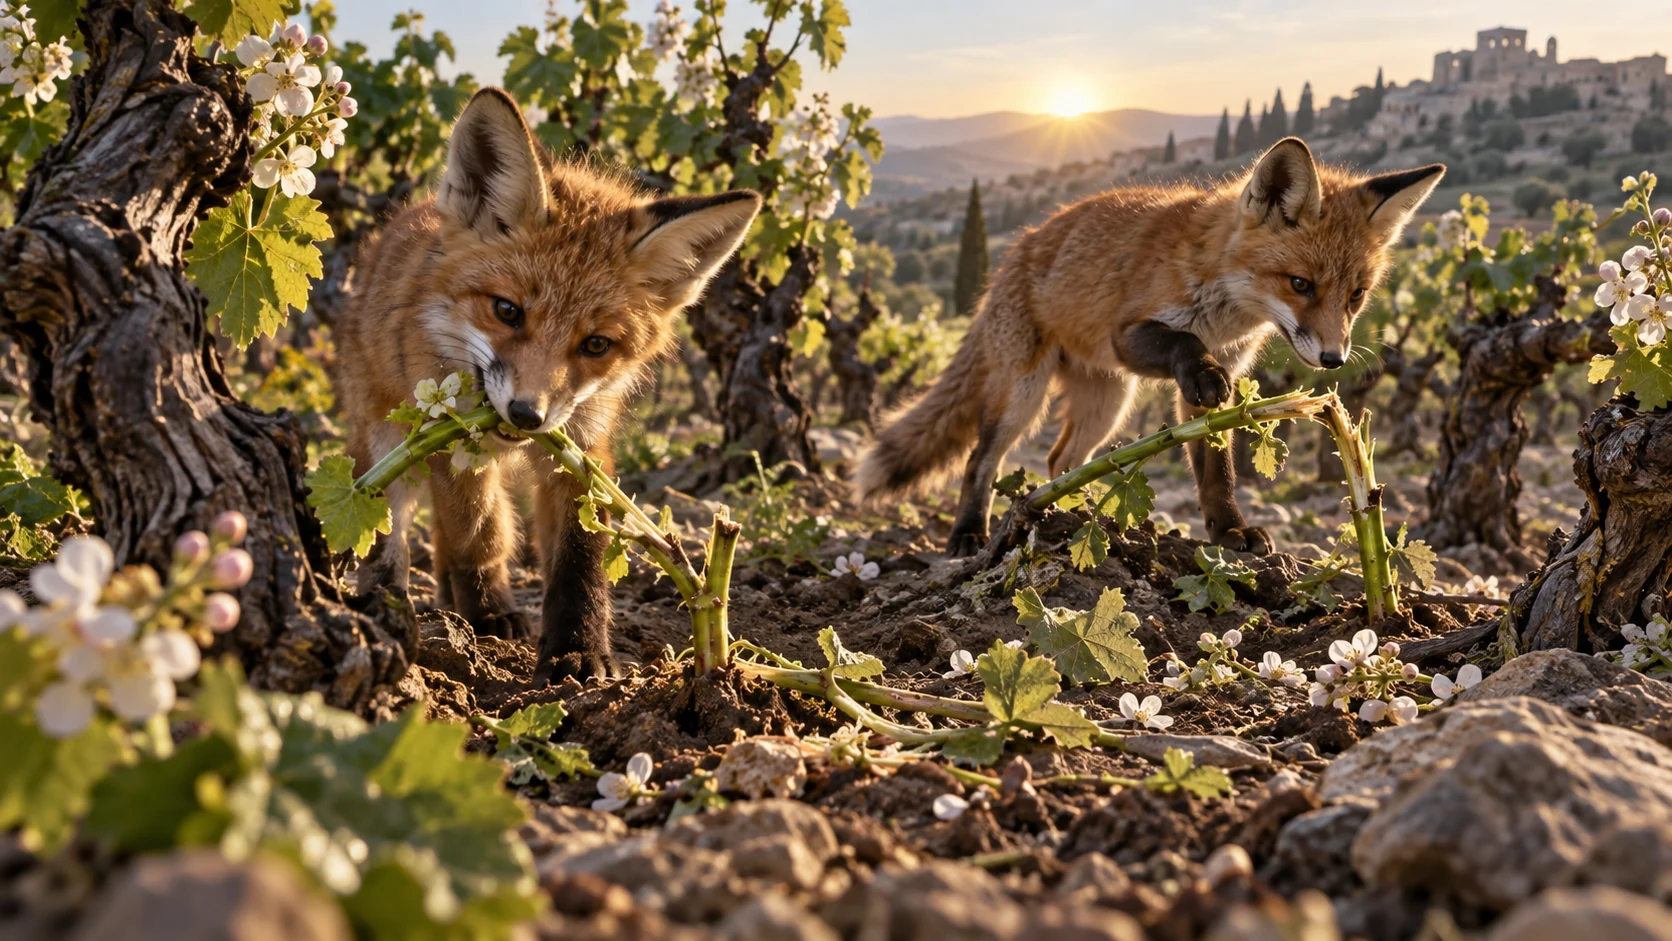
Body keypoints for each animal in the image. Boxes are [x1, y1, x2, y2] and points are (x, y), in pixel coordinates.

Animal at [335, 88, 760, 680]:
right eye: (507, 311)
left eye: (597, 345)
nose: (526, 415)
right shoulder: (451, 442)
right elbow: (479, 530)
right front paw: (488, 611)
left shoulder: (581, 442)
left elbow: (581, 555)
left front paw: (577, 648)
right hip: (386, 438)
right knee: (387, 525)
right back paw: (388, 601)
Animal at [856, 138, 1444, 557]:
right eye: (1300, 284)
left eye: (1356, 295)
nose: (1333, 359)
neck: (1225, 308)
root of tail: (1012, 254)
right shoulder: (1132, 334)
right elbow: (1183, 343)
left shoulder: (1224, 380)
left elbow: (1217, 468)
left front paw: (1229, 530)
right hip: (1023, 394)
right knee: (981, 459)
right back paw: (969, 533)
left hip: (1107, 406)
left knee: (1060, 458)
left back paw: (1075, 510)